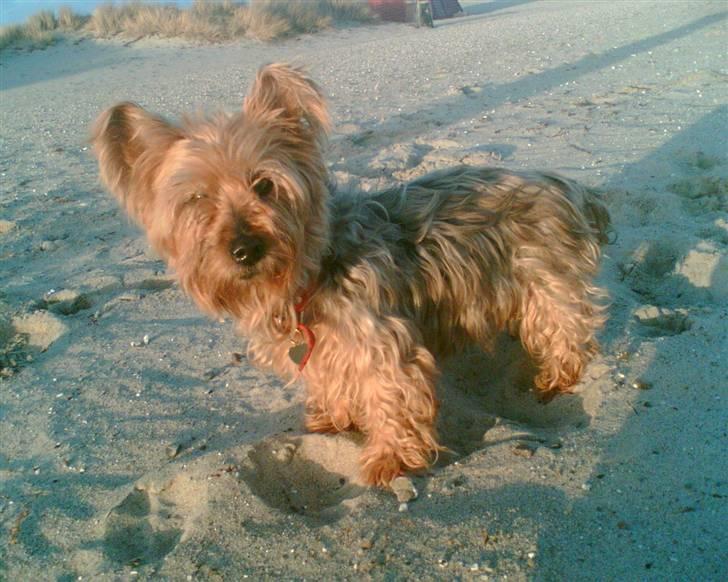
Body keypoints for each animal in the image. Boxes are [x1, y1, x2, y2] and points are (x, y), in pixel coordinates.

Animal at [91, 64, 612, 488]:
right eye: (197, 199)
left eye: (265, 185)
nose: (244, 249)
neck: (308, 275)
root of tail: (568, 186)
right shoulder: (327, 351)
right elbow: (333, 382)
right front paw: (333, 418)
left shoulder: (381, 344)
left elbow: (392, 397)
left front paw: (389, 460)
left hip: (545, 280)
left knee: (565, 328)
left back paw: (555, 378)